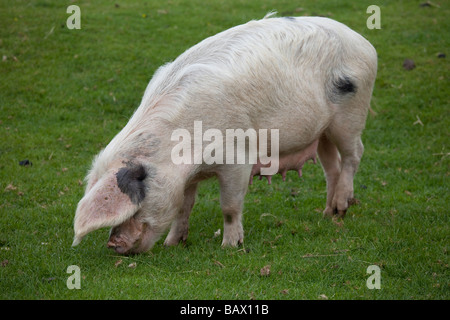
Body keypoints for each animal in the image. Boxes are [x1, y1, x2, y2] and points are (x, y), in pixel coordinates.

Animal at [73, 14, 376, 255]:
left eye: (137, 205)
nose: (113, 244)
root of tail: (365, 43)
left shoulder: (238, 157)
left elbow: (229, 206)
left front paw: (230, 247)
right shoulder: (184, 178)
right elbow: (183, 206)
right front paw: (173, 244)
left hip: (351, 114)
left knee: (354, 156)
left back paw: (341, 207)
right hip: (323, 130)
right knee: (331, 166)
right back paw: (329, 214)